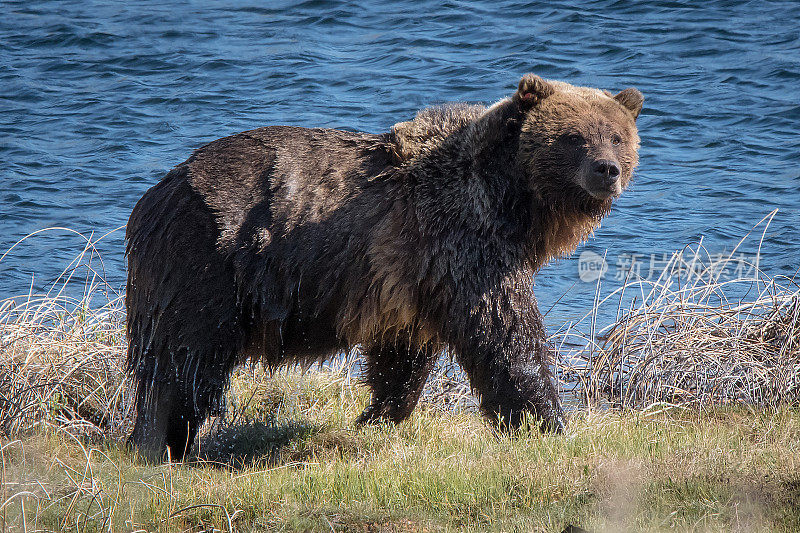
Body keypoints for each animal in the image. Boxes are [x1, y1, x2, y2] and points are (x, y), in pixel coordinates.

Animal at [130, 74, 644, 462]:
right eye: (574, 137)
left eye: (617, 136)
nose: (607, 169)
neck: (511, 201)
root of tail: (157, 191)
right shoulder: (462, 239)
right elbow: (505, 333)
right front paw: (547, 423)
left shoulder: (414, 274)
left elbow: (405, 354)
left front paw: (375, 417)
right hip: (207, 259)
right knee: (186, 357)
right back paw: (165, 442)